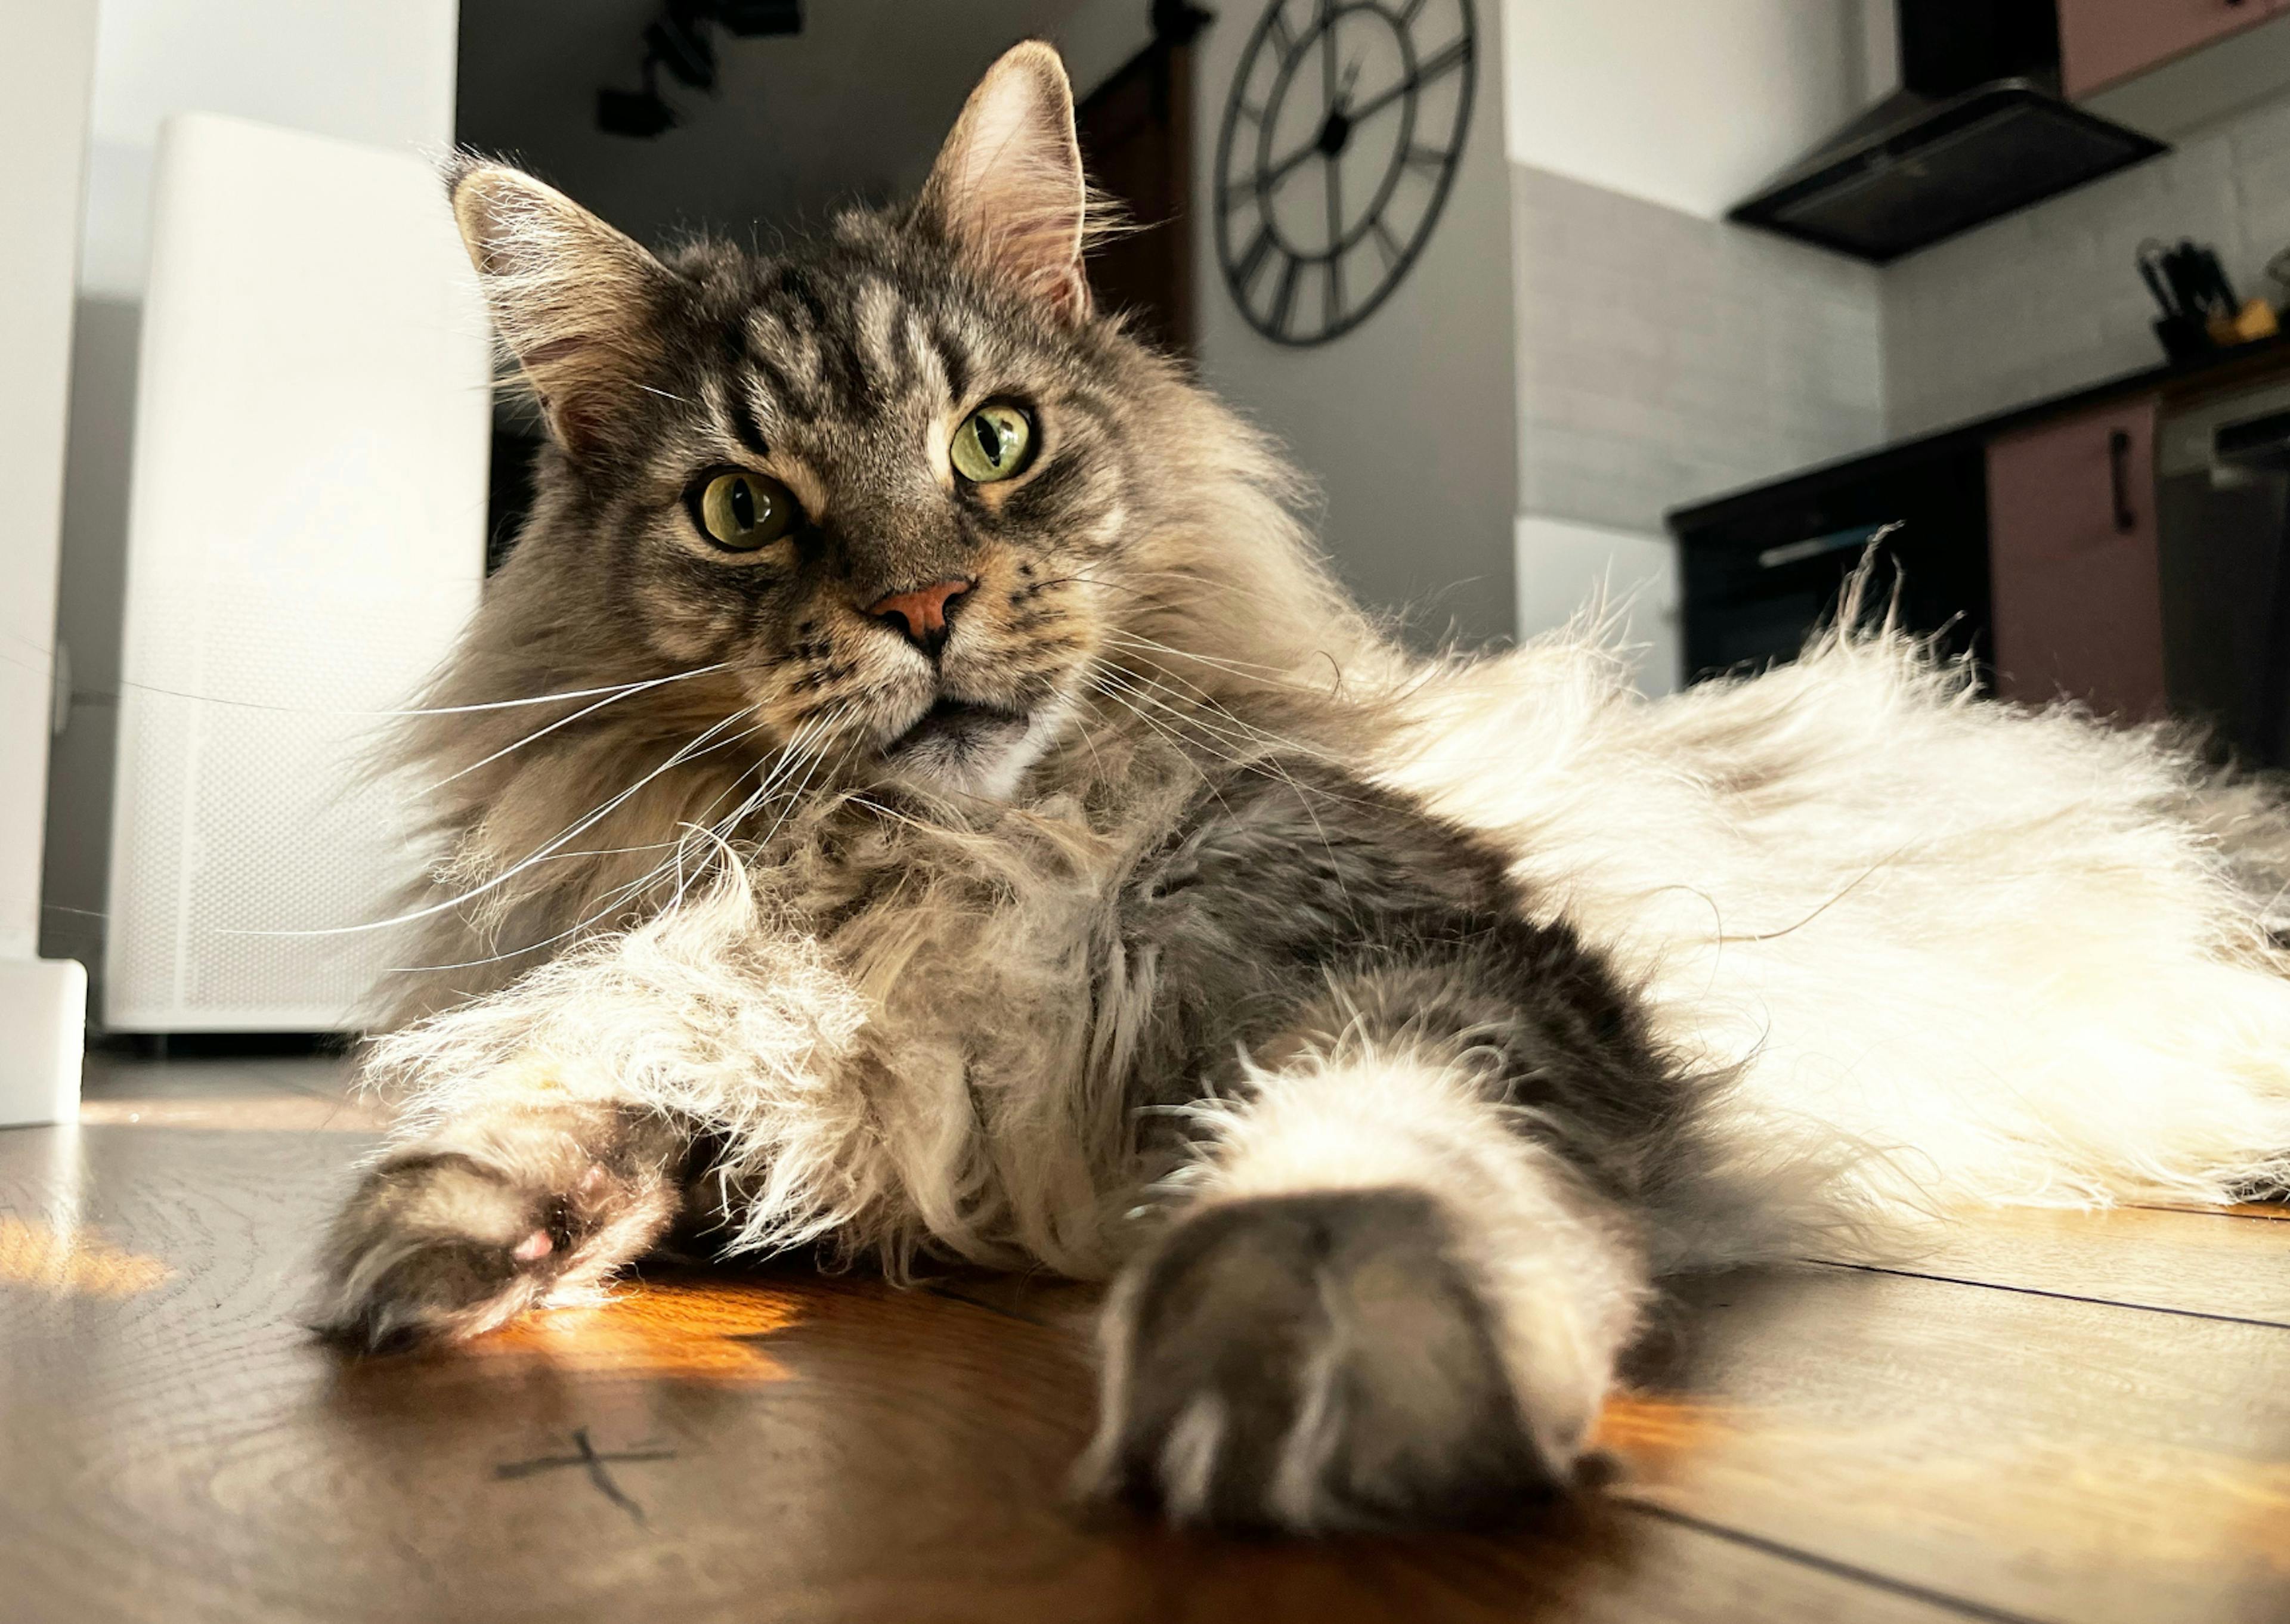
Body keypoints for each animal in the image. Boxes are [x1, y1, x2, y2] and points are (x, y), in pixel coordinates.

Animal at [314, 38, 2290, 1530]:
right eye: (742, 508)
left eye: (994, 440)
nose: (922, 604)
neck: (955, 864)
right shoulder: (827, 1061)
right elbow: (608, 1088)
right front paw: (437, 1224)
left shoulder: (1427, 942)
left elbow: (1378, 1133)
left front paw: (1311, 1330)